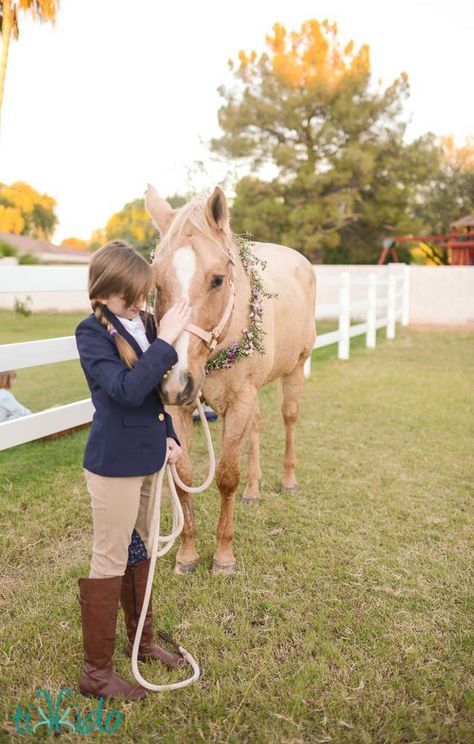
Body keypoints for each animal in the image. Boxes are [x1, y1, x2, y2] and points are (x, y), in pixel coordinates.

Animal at [144, 185, 314, 576]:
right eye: (156, 281)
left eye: (217, 279)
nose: (174, 381)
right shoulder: (184, 409)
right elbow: (185, 478)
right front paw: (187, 554)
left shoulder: (239, 401)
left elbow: (225, 477)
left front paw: (223, 556)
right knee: (257, 427)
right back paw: (253, 489)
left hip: (294, 371)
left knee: (289, 419)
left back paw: (288, 480)